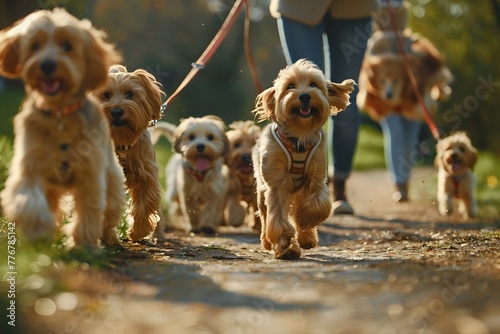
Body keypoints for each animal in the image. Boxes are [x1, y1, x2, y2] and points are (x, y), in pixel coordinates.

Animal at [0, 8, 125, 245]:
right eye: (35, 46)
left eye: (67, 46)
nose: (47, 64)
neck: (59, 114)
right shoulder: (30, 163)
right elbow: (28, 200)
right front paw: (38, 231)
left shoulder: (91, 173)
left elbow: (90, 207)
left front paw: (84, 243)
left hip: (112, 177)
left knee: (110, 209)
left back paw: (108, 236)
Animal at [95, 64, 168, 241]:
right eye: (106, 95)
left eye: (130, 94)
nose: (116, 112)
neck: (122, 141)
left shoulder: (147, 174)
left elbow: (147, 201)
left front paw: (138, 231)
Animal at [252, 58, 354, 260]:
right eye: (290, 86)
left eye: (314, 84)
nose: (305, 96)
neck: (299, 137)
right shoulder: (275, 182)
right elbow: (277, 215)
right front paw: (284, 242)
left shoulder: (317, 176)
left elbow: (317, 205)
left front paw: (304, 222)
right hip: (261, 189)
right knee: (266, 215)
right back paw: (269, 242)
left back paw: (306, 238)